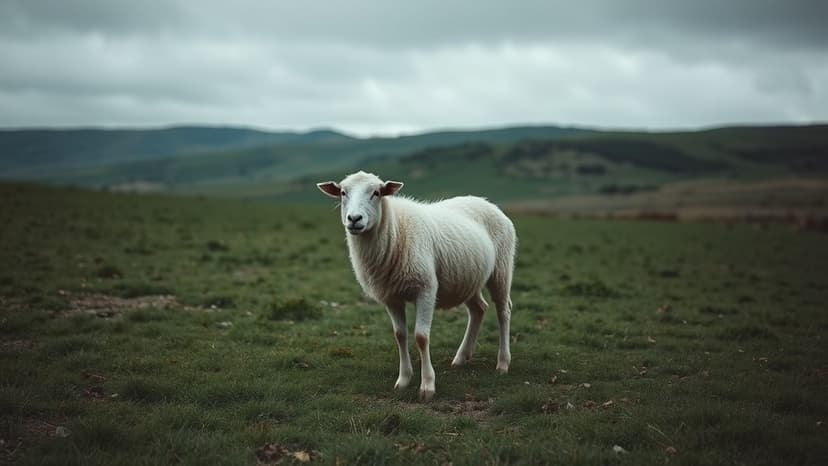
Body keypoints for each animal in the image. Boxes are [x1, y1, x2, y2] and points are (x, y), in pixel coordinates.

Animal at [317, 171, 516, 401]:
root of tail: (487, 203)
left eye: (376, 193)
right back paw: (461, 357)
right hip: (467, 278)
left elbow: (421, 337)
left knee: (503, 311)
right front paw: (403, 379)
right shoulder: (391, 297)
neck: (395, 230)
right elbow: (400, 335)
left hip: (501, 268)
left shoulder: (426, 289)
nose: (354, 219)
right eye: (342, 192)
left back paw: (503, 363)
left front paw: (427, 385)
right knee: (479, 309)